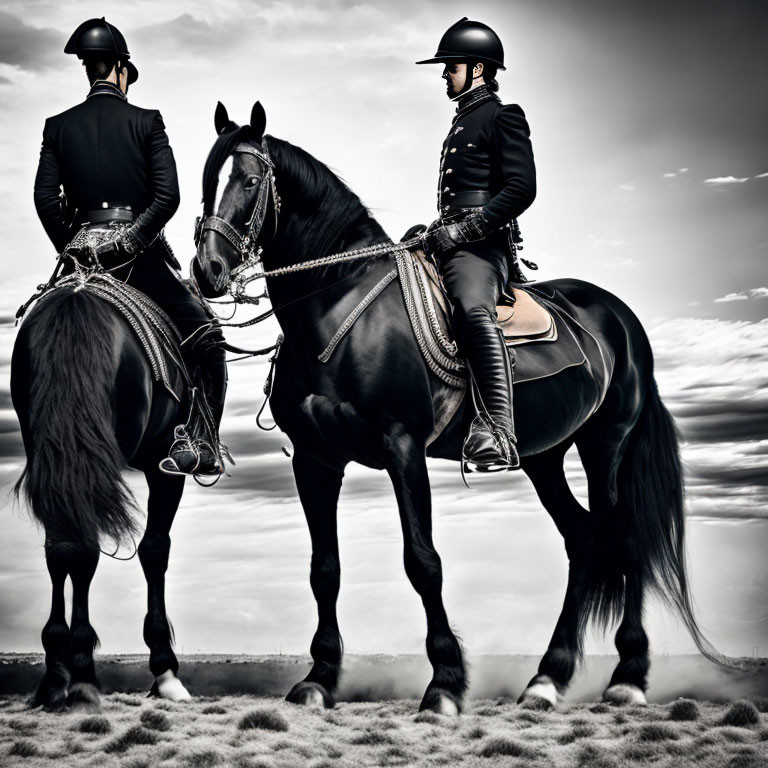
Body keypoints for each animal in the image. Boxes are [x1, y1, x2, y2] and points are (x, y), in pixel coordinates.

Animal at [11, 284, 192, 712]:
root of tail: (77, 299)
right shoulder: (165, 464)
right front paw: (165, 671)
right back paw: (81, 676)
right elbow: (155, 550)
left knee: (64, 547)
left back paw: (59, 673)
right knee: (84, 549)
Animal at [196, 102, 720, 712]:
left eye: (250, 181)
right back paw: (546, 678)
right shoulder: (315, 459)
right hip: (544, 456)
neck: (336, 305)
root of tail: (621, 318)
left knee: (627, 540)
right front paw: (319, 678)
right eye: (207, 182)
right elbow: (323, 569)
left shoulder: (402, 447)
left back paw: (628, 677)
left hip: (607, 444)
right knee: (585, 540)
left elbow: (423, 562)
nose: (207, 269)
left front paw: (444, 681)